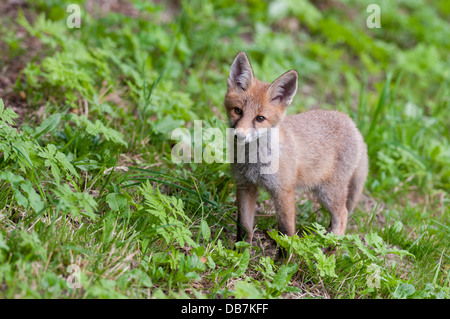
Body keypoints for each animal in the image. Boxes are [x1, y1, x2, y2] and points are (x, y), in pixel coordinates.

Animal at [225, 52, 370, 245]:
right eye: (238, 111)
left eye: (260, 118)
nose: (239, 136)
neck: (253, 161)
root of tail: (354, 125)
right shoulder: (245, 186)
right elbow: (243, 229)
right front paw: (240, 250)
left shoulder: (284, 191)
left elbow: (286, 232)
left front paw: (285, 254)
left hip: (328, 193)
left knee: (343, 215)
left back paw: (330, 245)